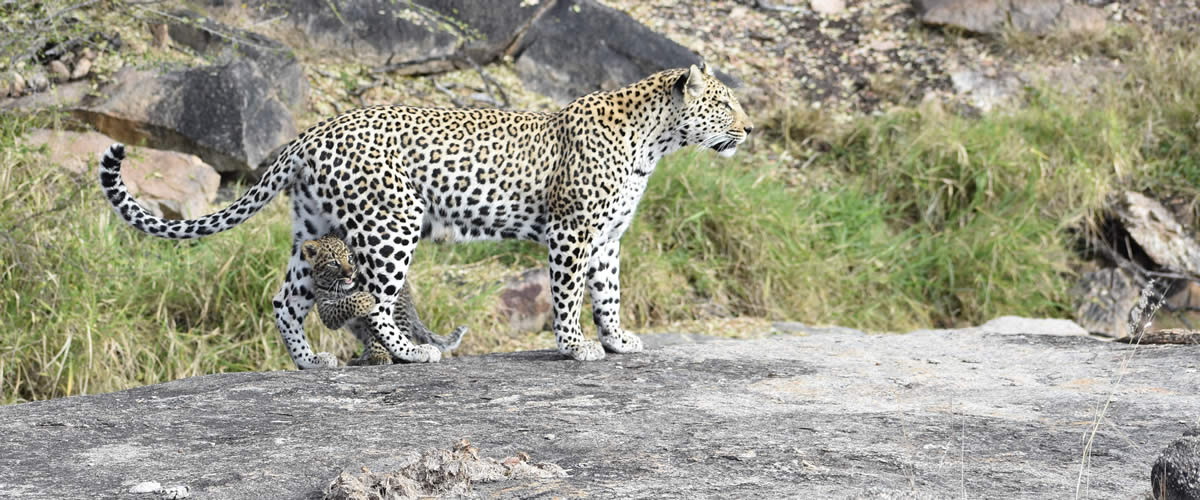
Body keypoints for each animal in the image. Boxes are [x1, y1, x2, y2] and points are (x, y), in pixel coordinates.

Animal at [301, 232, 467, 366]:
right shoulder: (327, 311)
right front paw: (364, 298)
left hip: (398, 311)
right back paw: (362, 359)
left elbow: (378, 334)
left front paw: (379, 355)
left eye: (350, 258)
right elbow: (344, 303)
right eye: (334, 263)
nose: (350, 274)